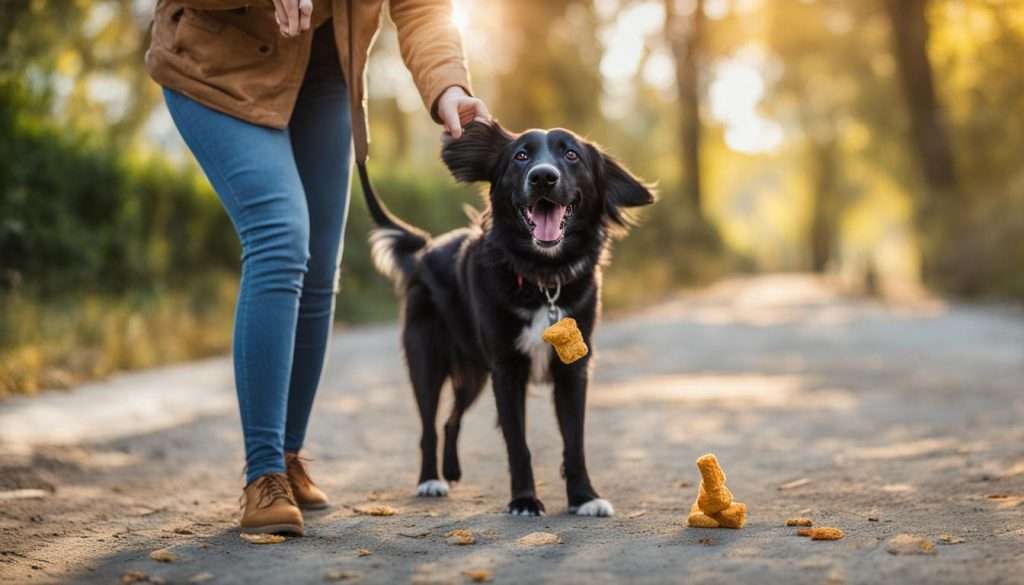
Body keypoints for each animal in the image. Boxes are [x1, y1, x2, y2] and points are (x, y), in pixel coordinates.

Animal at [366, 121, 655, 514]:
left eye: (571, 154)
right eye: (521, 156)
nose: (543, 177)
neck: (543, 278)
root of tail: (426, 249)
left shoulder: (573, 370)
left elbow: (575, 441)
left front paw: (584, 497)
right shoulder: (506, 370)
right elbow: (518, 443)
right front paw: (524, 500)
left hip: (473, 375)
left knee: (450, 421)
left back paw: (451, 471)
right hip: (428, 362)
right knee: (428, 426)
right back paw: (430, 480)